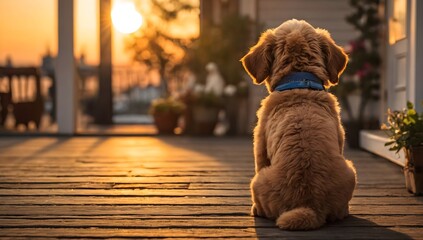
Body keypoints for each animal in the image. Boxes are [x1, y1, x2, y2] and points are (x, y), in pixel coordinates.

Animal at [242, 19, 358, 231]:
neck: (299, 80)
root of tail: (308, 206)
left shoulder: (260, 146)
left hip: (257, 181)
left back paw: (256, 209)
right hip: (350, 172)